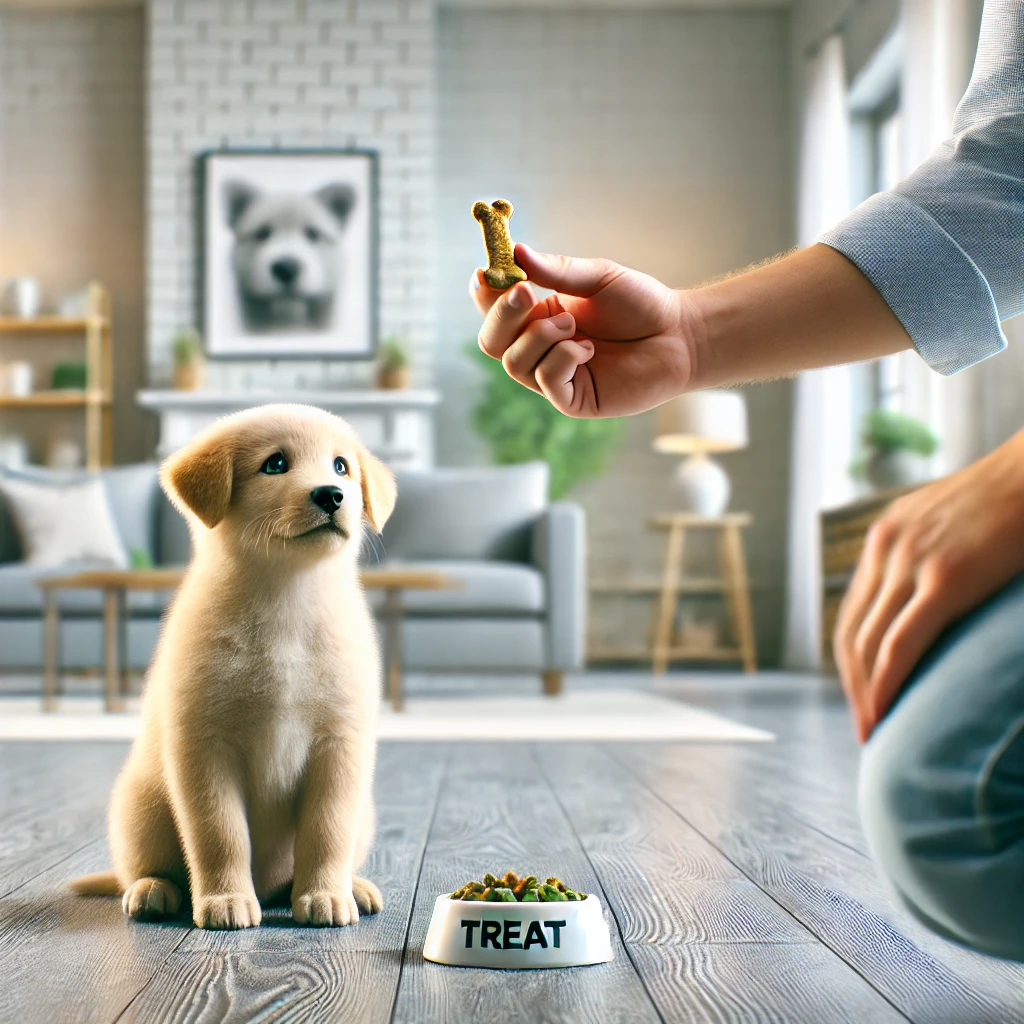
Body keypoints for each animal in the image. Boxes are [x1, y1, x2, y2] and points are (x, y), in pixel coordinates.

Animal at [71, 401, 395, 929]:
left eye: (342, 466)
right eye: (276, 464)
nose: (332, 494)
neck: (287, 600)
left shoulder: (339, 746)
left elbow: (326, 832)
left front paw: (325, 895)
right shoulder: (205, 748)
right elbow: (220, 835)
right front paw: (225, 900)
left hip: (365, 810)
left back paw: (352, 886)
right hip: (140, 805)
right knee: (142, 867)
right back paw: (153, 891)